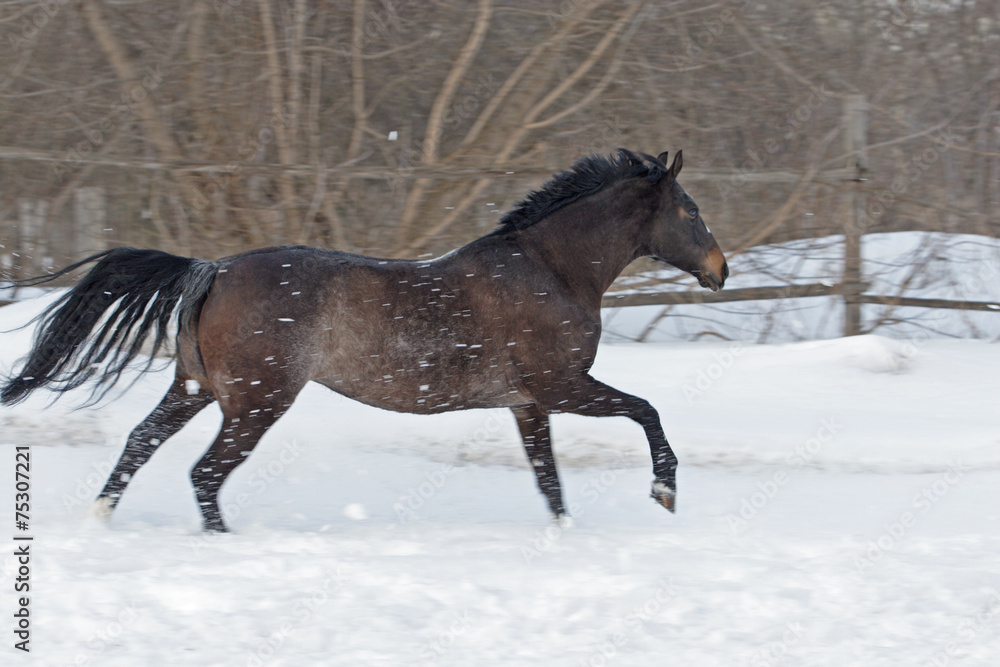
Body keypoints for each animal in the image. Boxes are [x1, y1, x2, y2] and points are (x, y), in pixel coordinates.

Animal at [1, 148, 728, 532]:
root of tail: (214, 269)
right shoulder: (562, 385)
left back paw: (99, 516)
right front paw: (665, 493)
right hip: (256, 403)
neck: (550, 269)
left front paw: (567, 532)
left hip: (197, 387)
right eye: (690, 210)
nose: (721, 270)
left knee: (141, 443)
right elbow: (646, 411)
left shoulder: (528, 402)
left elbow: (549, 481)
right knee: (203, 471)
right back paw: (221, 536)